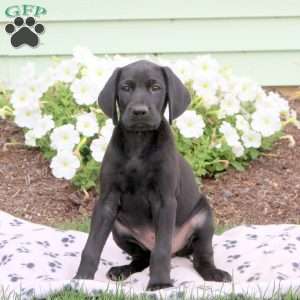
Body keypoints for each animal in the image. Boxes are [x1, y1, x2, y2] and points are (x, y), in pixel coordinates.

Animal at [74, 59, 231, 290]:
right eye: (126, 87)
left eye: (156, 88)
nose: (140, 111)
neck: (139, 143)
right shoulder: (107, 201)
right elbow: (92, 245)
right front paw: (82, 279)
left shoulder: (164, 201)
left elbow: (161, 250)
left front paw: (160, 284)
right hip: (119, 229)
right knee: (142, 258)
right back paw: (122, 271)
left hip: (204, 220)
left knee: (200, 257)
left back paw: (214, 273)